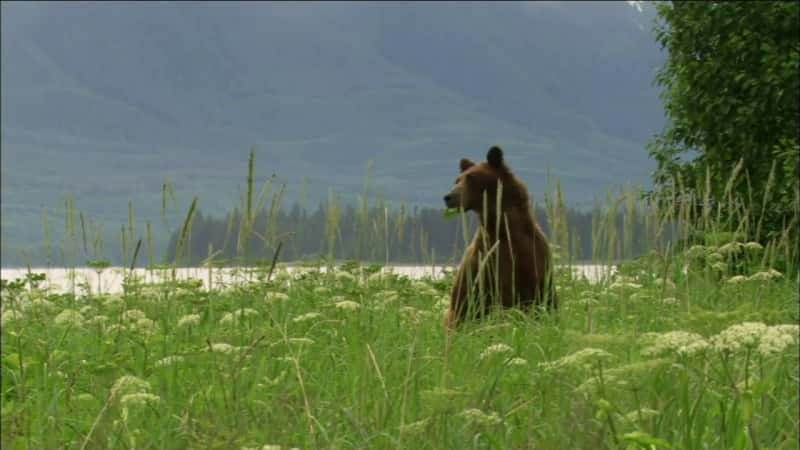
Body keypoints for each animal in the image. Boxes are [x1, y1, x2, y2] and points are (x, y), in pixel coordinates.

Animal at [444, 146, 556, 328]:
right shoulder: (492, 261)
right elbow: (505, 298)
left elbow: (548, 298)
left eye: (471, 177)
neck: (506, 228)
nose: (448, 197)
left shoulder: (536, 258)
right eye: (457, 180)